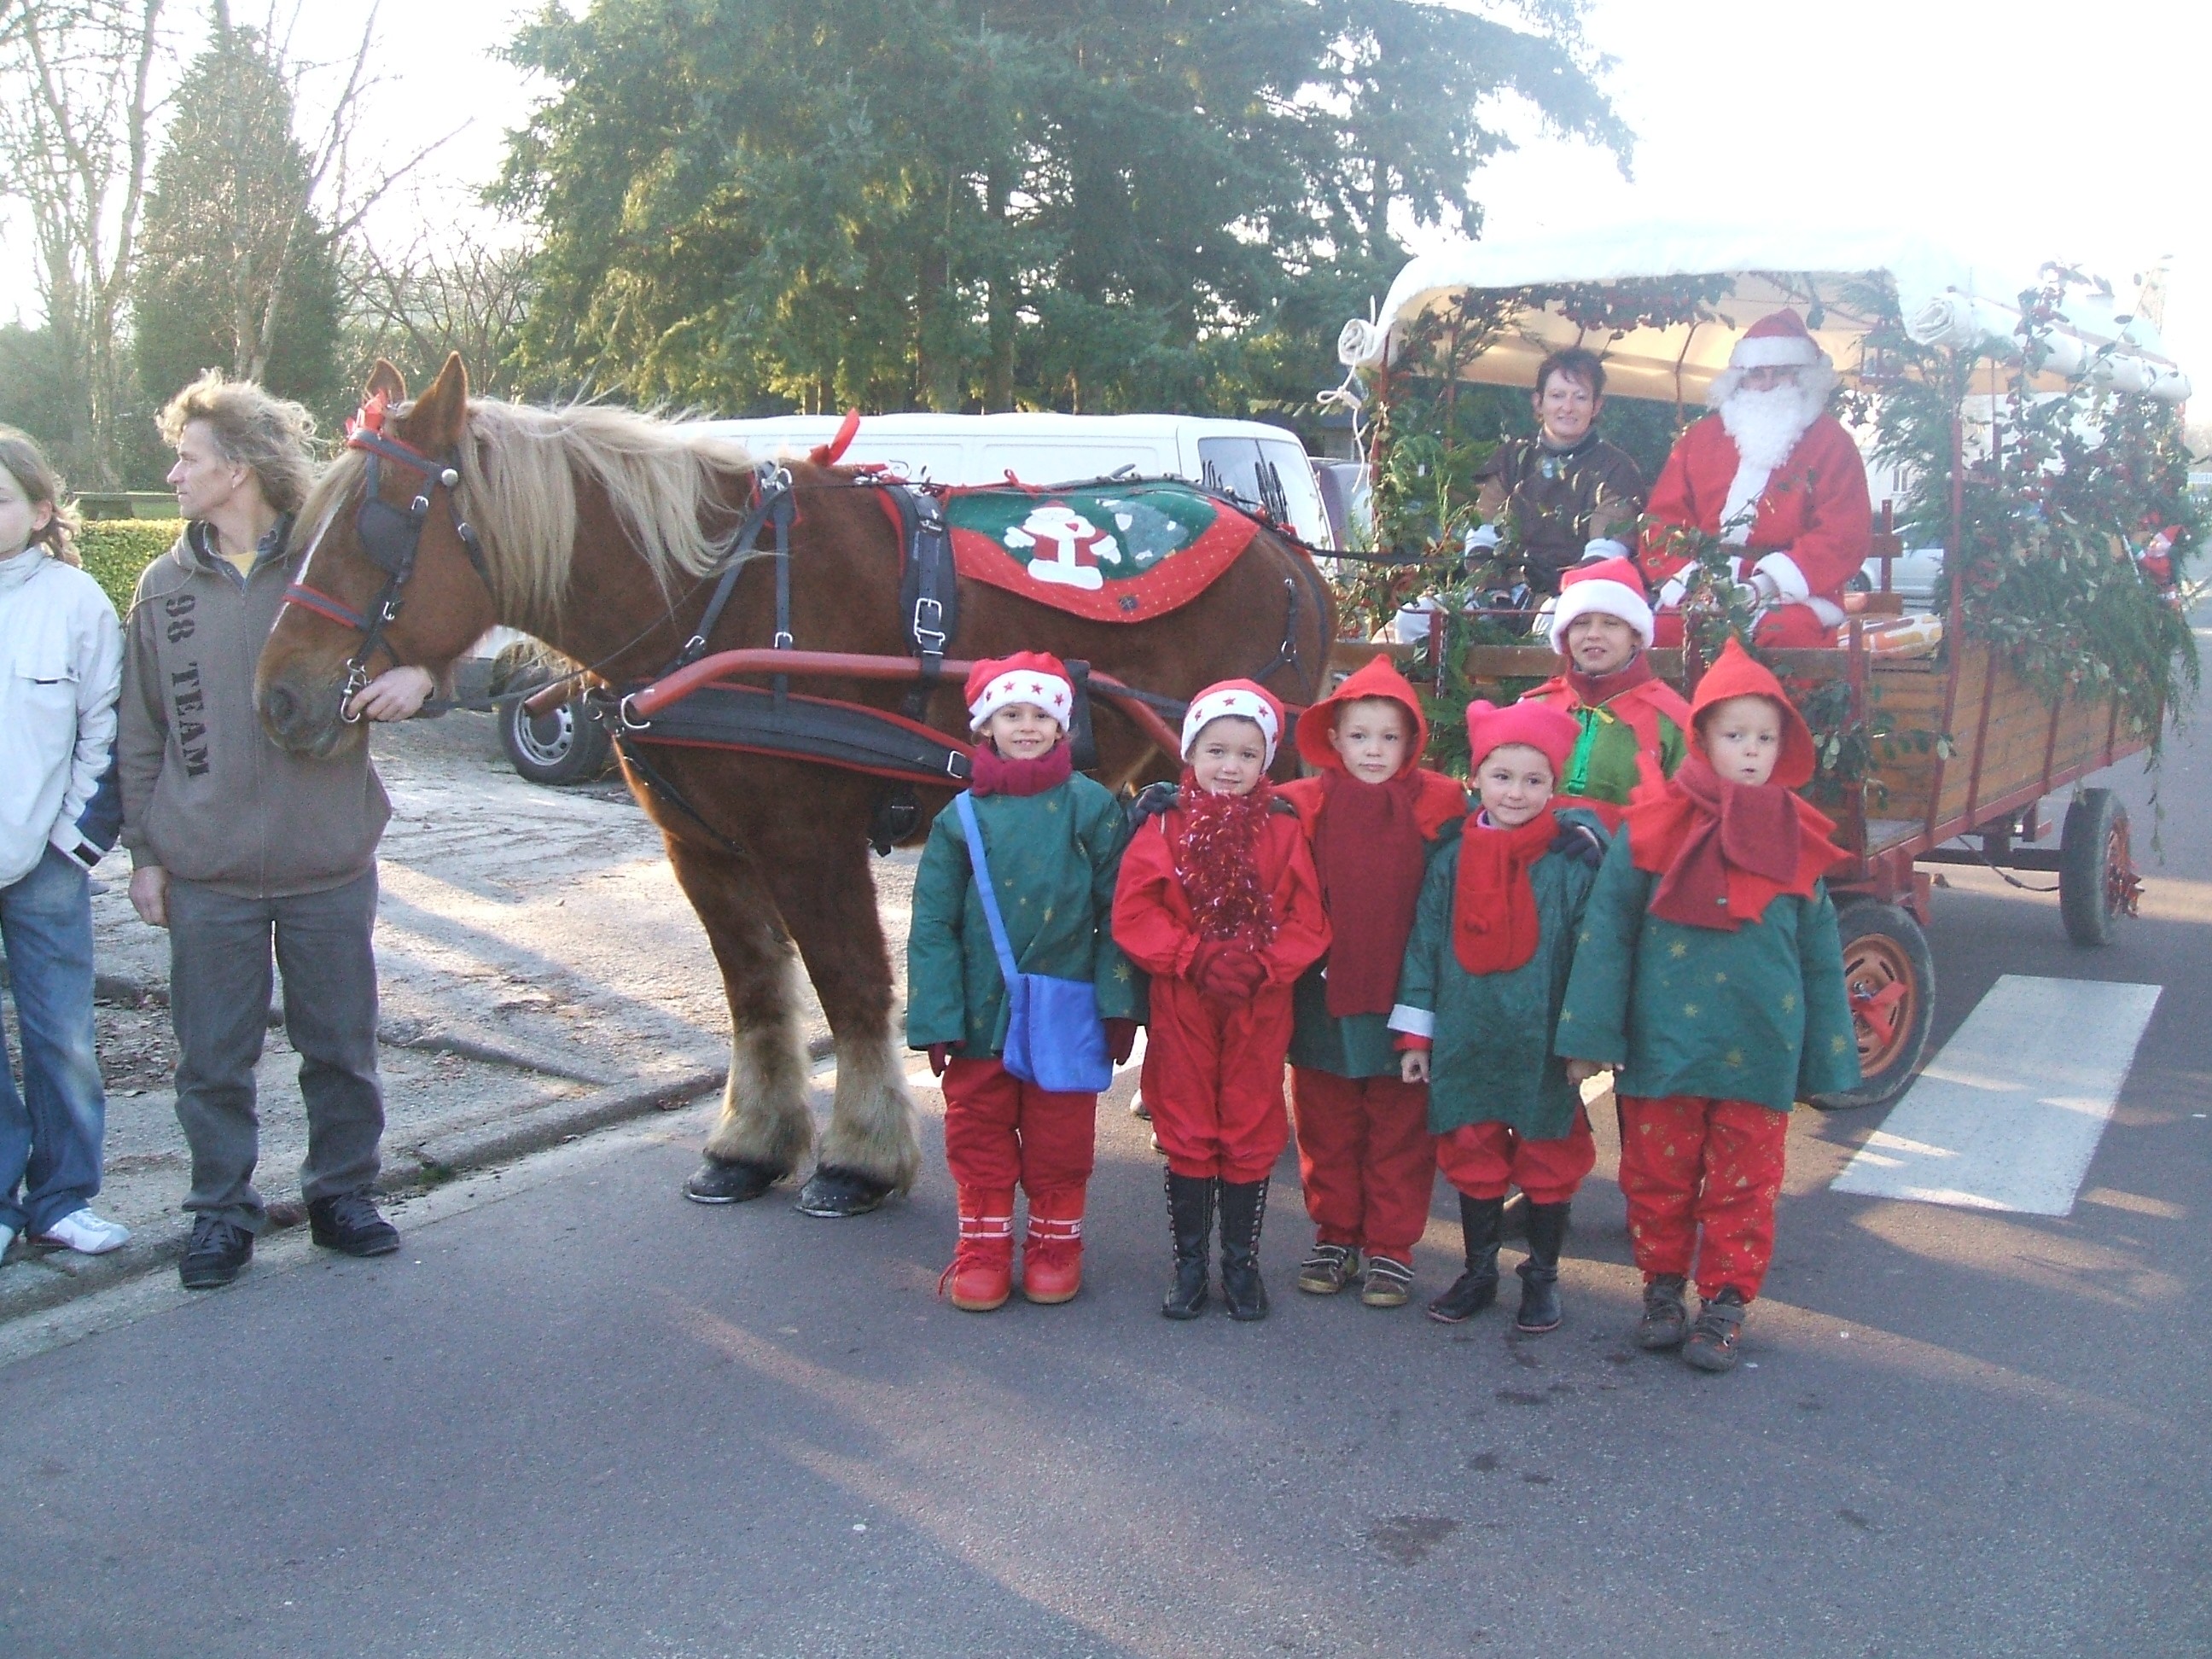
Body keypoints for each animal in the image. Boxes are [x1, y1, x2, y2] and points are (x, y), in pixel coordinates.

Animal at [254, 358, 1327, 1212]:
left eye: (380, 527)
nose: (277, 696)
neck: (713, 596)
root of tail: (1280, 541)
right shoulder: (703, 847)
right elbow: (757, 995)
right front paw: (751, 1144)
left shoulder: (810, 841)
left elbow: (851, 987)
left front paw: (860, 1156)